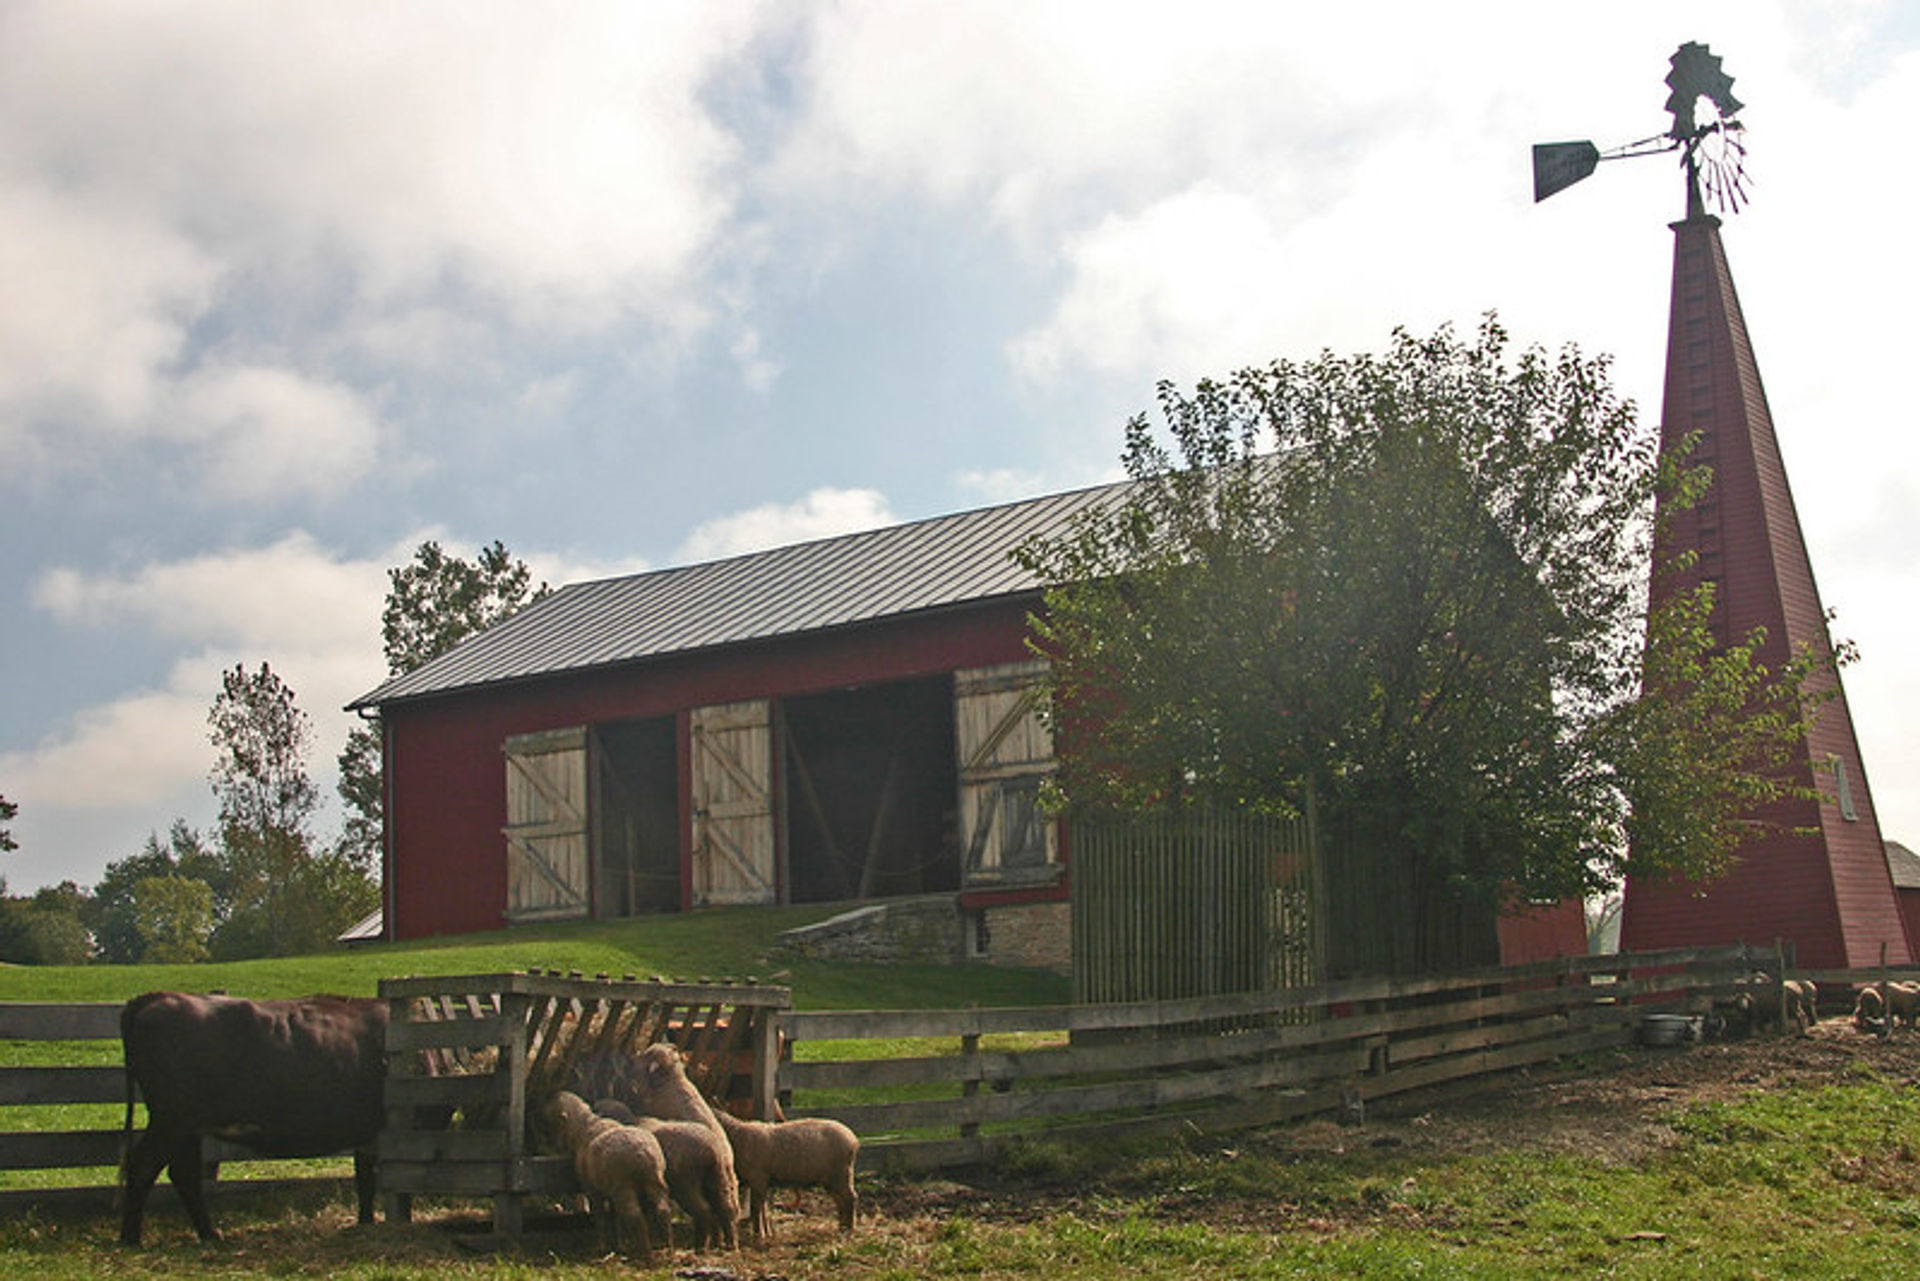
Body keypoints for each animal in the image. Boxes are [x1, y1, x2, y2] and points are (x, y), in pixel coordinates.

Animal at [119, 990, 389, 1244]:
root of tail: (159, 997)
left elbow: (365, 1177)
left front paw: (365, 1221)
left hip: (187, 1128)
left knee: (184, 1174)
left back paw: (208, 1233)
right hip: (171, 1121)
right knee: (143, 1165)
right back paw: (131, 1238)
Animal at [545, 1090, 672, 1259]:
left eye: (552, 1125)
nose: (555, 1147)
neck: (583, 1126)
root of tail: (643, 1155)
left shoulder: (593, 1189)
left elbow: (600, 1217)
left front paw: (602, 1246)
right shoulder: (608, 1188)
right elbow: (615, 1216)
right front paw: (619, 1243)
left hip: (623, 1185)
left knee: (634, 1215)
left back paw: (644, 1251)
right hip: (655, 1180)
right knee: (663, 1209)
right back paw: (667, 1246)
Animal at [710, 1113, 860, 1244]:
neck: (738, 1136)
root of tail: (853, 1139)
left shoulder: (757, 1178)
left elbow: (756, 1209)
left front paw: (759, 1234)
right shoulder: (761, 1182)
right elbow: (763, 1208)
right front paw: (767, 1232)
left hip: (841, 1173)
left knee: (850, 1198)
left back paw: (849, 1229)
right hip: (832, 1178)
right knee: (841, 1200)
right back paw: (842, 1227)